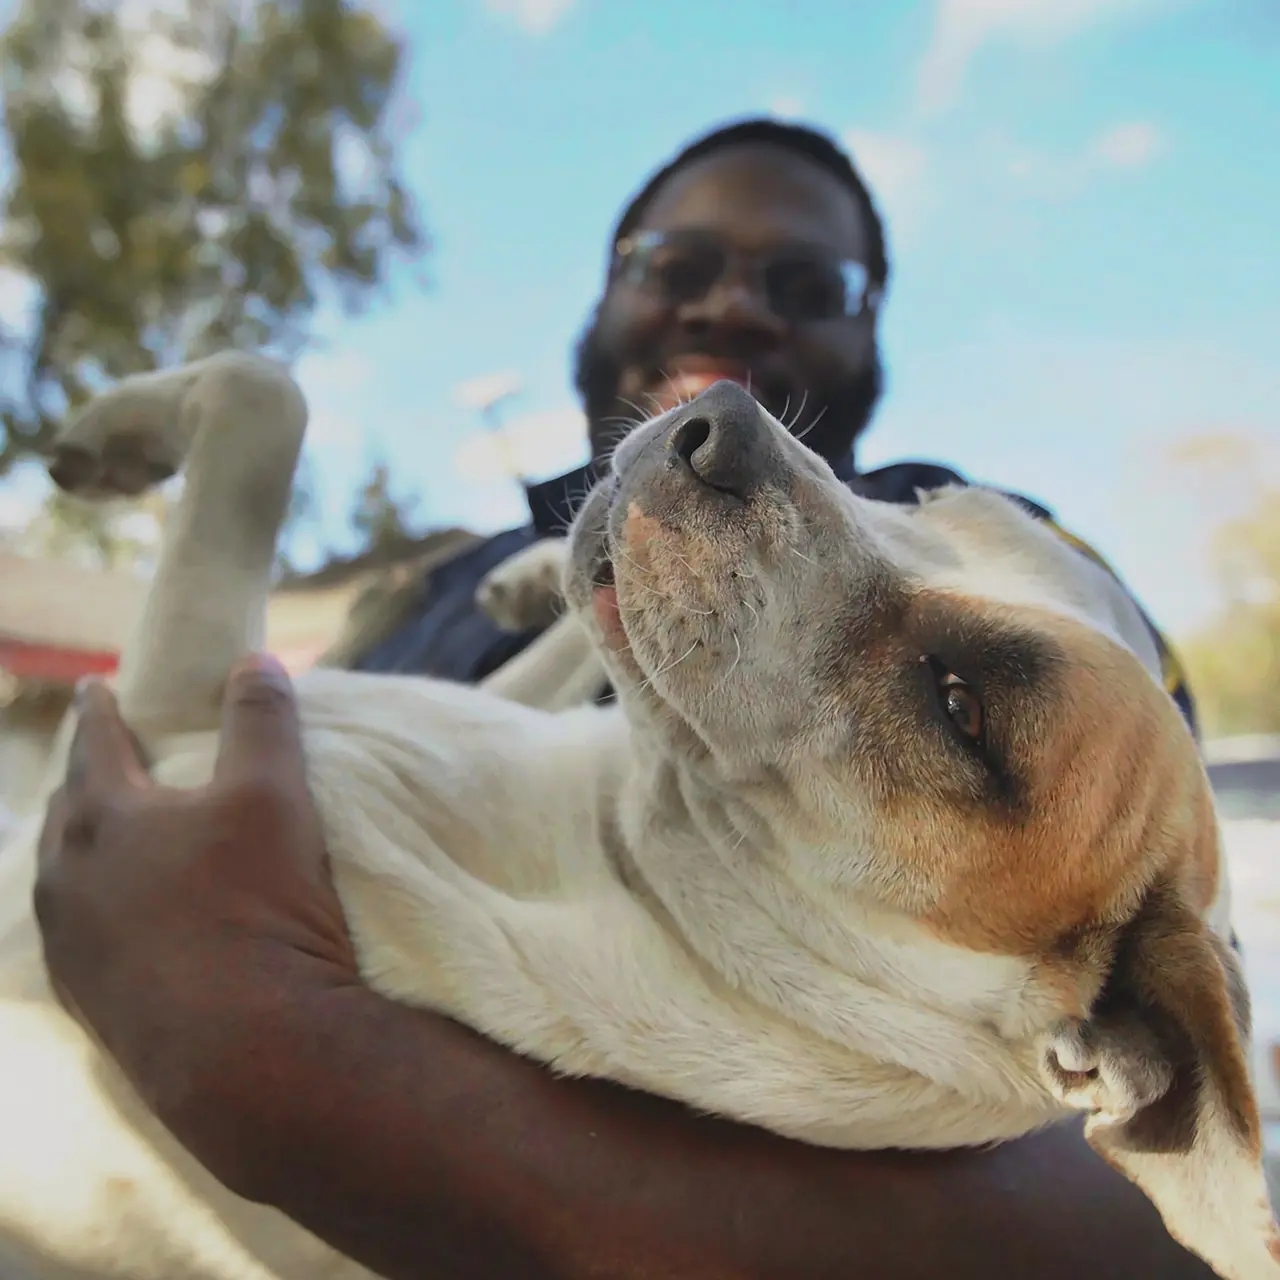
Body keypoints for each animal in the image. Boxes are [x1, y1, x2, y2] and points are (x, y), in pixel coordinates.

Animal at [2, 353, 1280, 1280]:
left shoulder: (172, 714)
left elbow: (264, 398)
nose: (716, 417)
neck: (629, 847)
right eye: (922, 495)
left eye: (958, 704)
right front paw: (523, 572)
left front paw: (113, 433)